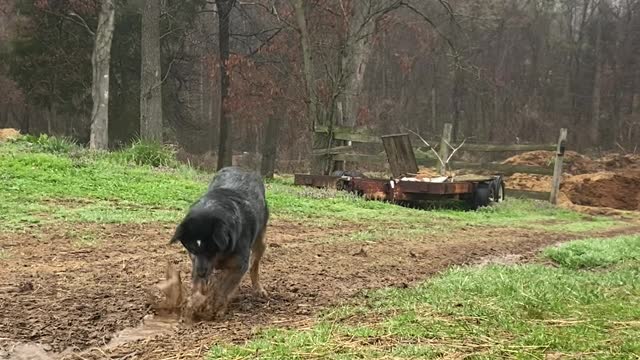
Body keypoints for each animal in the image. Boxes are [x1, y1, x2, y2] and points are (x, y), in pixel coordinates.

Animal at [170, 166, 268, 318]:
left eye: (211, 249)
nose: (201, 273)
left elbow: (224, 287)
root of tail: (242, 169)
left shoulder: (239, 265)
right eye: (192, 248)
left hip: (261, 241)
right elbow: (201, 286)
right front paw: (195, 303)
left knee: (254, 265)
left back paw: (258, 289)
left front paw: (216, 307)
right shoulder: (197, 262)